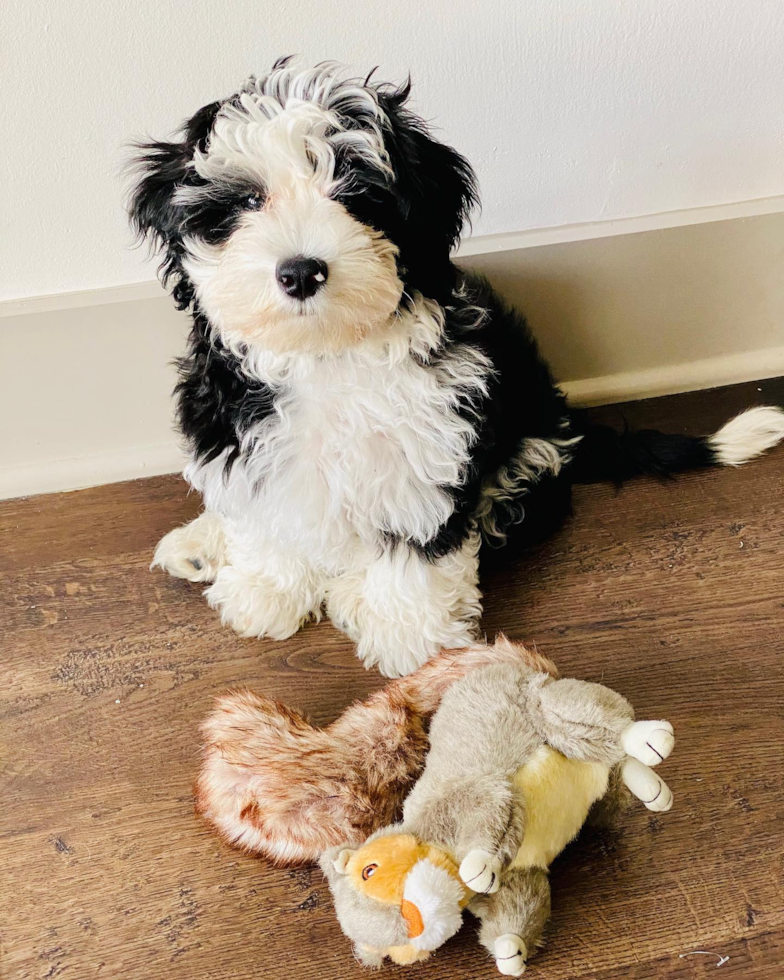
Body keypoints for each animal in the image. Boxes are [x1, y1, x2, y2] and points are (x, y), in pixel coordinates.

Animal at [130, 59, 784, 672]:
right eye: (247, 200)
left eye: (356, 196)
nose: (300, 271)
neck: (331, 355)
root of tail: (565, 423)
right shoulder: (240, 434)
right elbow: (270, 515)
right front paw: (268, 590)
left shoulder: (429, 450)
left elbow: (415, 549)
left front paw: (406, 637)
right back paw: (204, 540)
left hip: (526, 454)